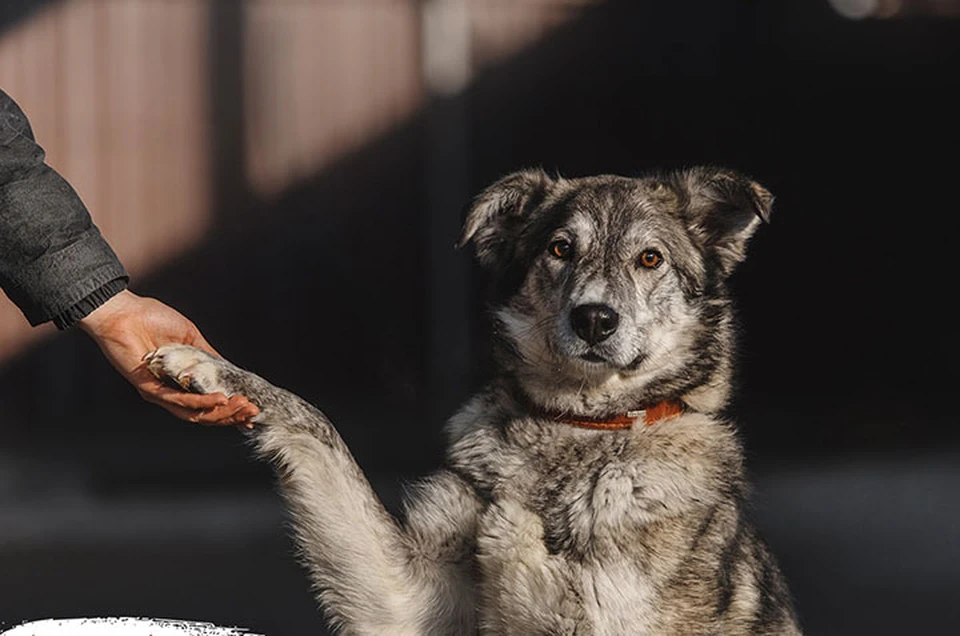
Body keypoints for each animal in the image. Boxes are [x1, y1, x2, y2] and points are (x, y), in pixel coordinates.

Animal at [144, 166, 804, 632]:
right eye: (560, 249)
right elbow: (318, 427)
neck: (579, 430)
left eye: (650, 259)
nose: (594, 319)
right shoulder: (407, 599)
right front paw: (210, 367)